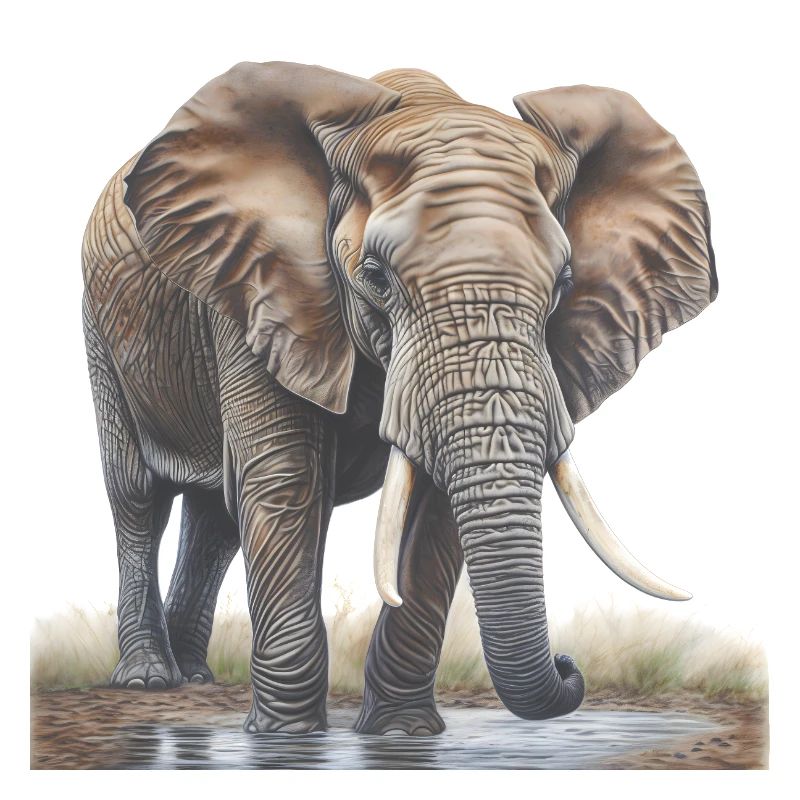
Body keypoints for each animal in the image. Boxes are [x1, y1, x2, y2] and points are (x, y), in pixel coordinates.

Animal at [82, 61, 717, 735]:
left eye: (565, 282)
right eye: (376, 278)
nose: (570, 666)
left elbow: (434, 505)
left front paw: (400, 732)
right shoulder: (256, 289)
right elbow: (286, 478)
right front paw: (286, 738)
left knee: (216, 520)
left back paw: (196, 676)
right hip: (102, 330)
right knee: (138, 498)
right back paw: (149, 678)